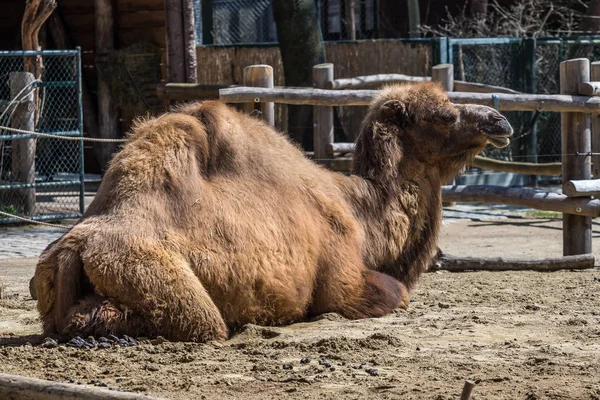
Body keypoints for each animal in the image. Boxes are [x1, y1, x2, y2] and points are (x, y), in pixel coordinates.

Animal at [32, 82, 510, 340]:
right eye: (443, 115)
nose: (498, 121)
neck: (361, 215)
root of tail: (74, 249)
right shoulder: (344, 283)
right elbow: (395, 293)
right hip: (164, 281)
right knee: (191, 321)